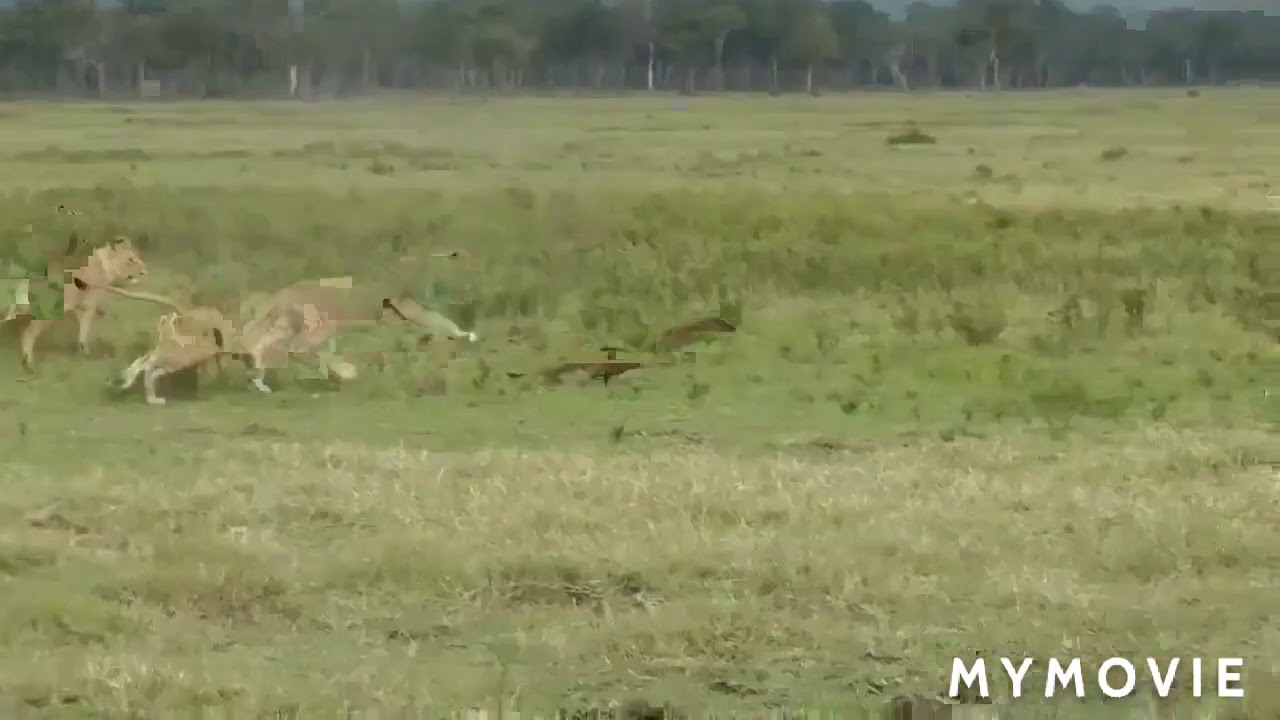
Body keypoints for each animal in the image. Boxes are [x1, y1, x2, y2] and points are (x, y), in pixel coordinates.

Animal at [7, 236, 148, 371]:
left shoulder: (78, 305)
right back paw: (29, 364)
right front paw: (86, 351)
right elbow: (85, 327)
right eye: (131, 260)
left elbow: (82, 326)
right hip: (49, 312)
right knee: (28, 333)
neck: (106, 265)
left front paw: (82, 348)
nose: (145, 272)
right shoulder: (90, 303)